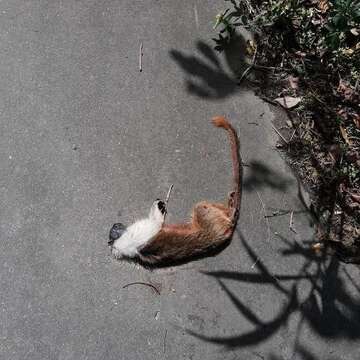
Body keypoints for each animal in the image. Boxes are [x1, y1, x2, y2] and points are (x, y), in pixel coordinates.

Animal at [107, 116, 242, 266]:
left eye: (115, 228)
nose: (115, 225)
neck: (124, 244)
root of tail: (226, 230)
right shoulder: (139, 233)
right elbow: (157, 222)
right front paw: (159, 204)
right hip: (210, 221)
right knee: (202, 207)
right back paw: (231, 209)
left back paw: (231, 202)